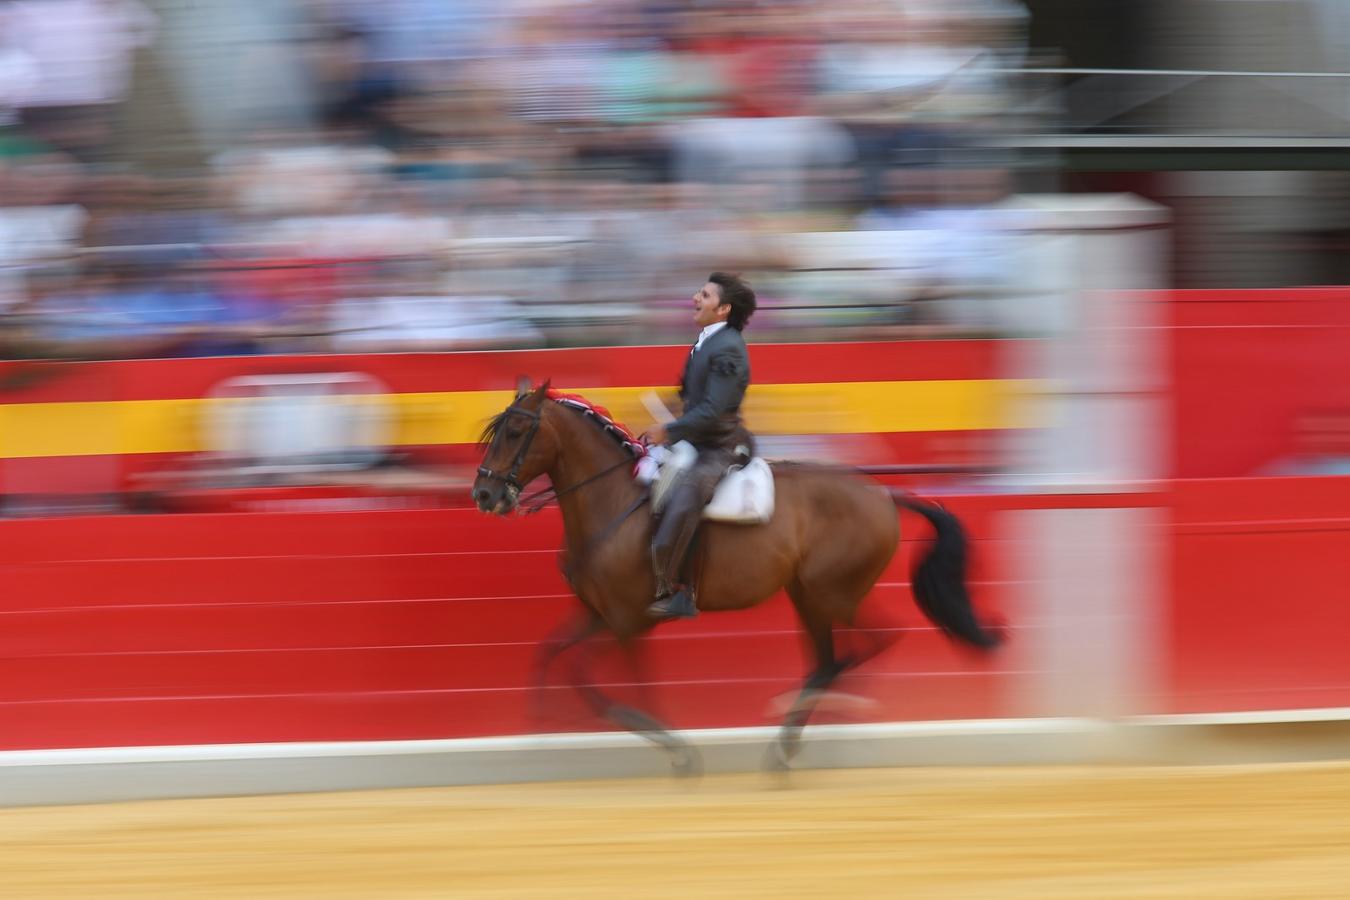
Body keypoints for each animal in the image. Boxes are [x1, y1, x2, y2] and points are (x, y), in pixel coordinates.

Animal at [475, 380, 1004, 777]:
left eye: (517, 430)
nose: (484, 494)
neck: (611, 502)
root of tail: (884, 493)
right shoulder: (597, 614)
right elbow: (553, 655)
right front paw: (539, 724)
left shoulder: (628, 621)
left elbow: (609, 679)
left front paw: (677, 751)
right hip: (808, 596)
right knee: (829, 658)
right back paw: (791, 741)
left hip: (832, 593)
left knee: (872, 642)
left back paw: (817, 728)